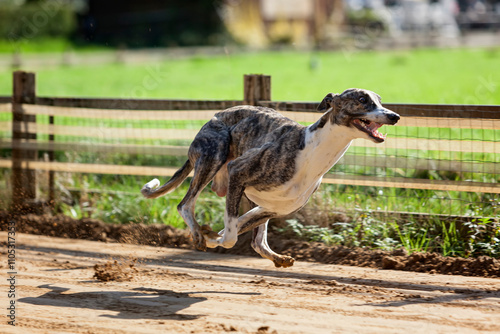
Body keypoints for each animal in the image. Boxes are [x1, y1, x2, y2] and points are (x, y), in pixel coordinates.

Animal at [141, 87, 398, 268]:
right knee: (185, 204)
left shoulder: (275, 208)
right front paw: (211, 236)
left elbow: (237, 227)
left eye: (380, 99)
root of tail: (215, 115)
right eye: (362, 99)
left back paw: (275, 257)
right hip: (214, 155)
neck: (312, 150)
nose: (394, 116)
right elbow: (231, 235)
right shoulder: (237, 172)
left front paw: (215, 235)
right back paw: (197, 233)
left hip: (254, 197)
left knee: (257, 239)